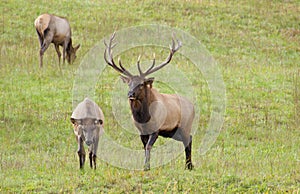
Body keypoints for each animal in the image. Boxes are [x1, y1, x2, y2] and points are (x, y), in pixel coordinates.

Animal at [104, 32, 196, 171]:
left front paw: (146, 167)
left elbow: (148, 146)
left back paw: (189, 166)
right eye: (129, 83)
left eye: (141, 84)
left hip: (185, 125)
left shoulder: (156, 129)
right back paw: (189, 165)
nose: (130, 94)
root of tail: (193, 107)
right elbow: (144, 147)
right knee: (187, 140)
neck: (143, 118)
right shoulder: (141, 132)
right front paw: (146, 165)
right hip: (173, 132)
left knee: (188, 140)